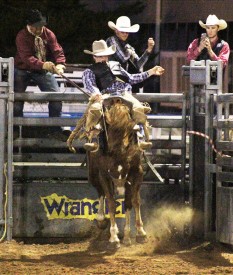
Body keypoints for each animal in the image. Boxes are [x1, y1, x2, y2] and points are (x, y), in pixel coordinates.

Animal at [67, 96, 147, 249]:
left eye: (130, 131)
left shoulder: (136, 173)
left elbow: (131, 202)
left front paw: (132, 235)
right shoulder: (104, 174)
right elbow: (111, 202)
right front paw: (114, 238)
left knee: (135, 199)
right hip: (94, 175)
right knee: (101, 193)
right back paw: (101, 220)